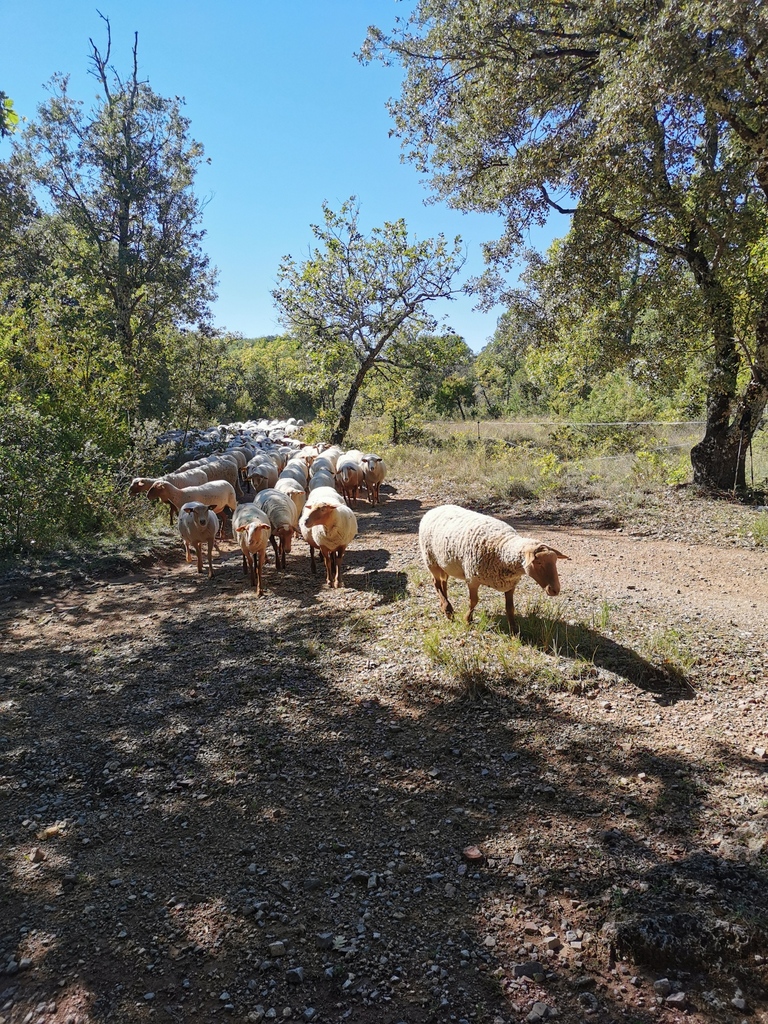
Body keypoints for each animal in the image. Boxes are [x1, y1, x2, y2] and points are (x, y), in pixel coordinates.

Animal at [417, 501, 569, 630]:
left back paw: (447, 607)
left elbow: (510, 608)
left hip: (443, 563)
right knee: (435, 582)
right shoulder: (472, 578)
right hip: (431, 560)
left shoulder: (510, 584)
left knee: (443, 582)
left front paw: (514, 631)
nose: (555, 590)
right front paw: (467, 620)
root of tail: (435, 508)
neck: (503, 549)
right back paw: (447, 609)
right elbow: (473, 601)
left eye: (555, 562)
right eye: (538, 562)